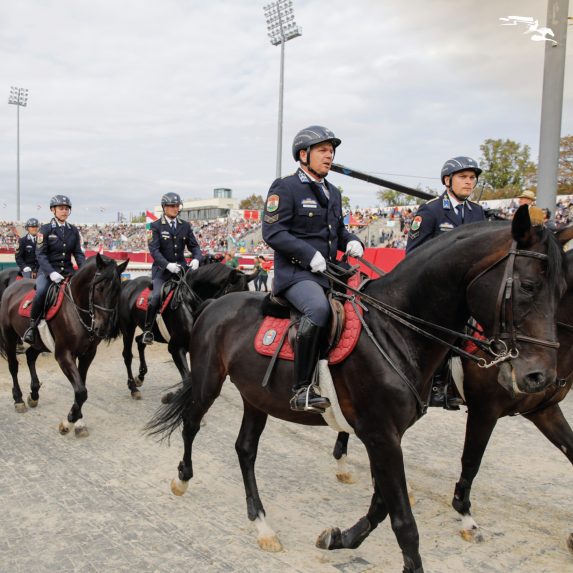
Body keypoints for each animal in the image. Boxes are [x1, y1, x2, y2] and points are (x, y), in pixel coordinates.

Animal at [0, 252, 127, 436]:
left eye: (118, 290)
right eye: (99, 288)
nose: (103, 328)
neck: (77, 310)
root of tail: (12, 287)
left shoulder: (88, 354)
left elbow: (81, 387)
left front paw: (78, 421)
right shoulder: (64, 355)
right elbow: (81, 391)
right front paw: (69, 421)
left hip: (40, 343)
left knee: (30, 356)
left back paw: (34, 393)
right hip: (9, 337)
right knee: (13, 366)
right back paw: (19, 399)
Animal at [118, 262, 256, 396]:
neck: (192, 304)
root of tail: (129, 283)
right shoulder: (176, 348)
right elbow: (188, 379)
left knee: (140, 342)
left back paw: (140, 377)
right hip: (128, 327)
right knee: (128, 355)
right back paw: (133, 388)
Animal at [146, 207, 564, 572]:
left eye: (561, 292)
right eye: (528, 286)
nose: (539, 377)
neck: (396, 329)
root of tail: (214, 306)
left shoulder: (386, 435)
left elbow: (382, 505)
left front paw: (338, 538)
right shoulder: (383, 434)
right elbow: (403, 520)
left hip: (256, 397)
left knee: (245, 450)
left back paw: (262, 525)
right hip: (207, 381)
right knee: (191, 424)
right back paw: (182, 478)